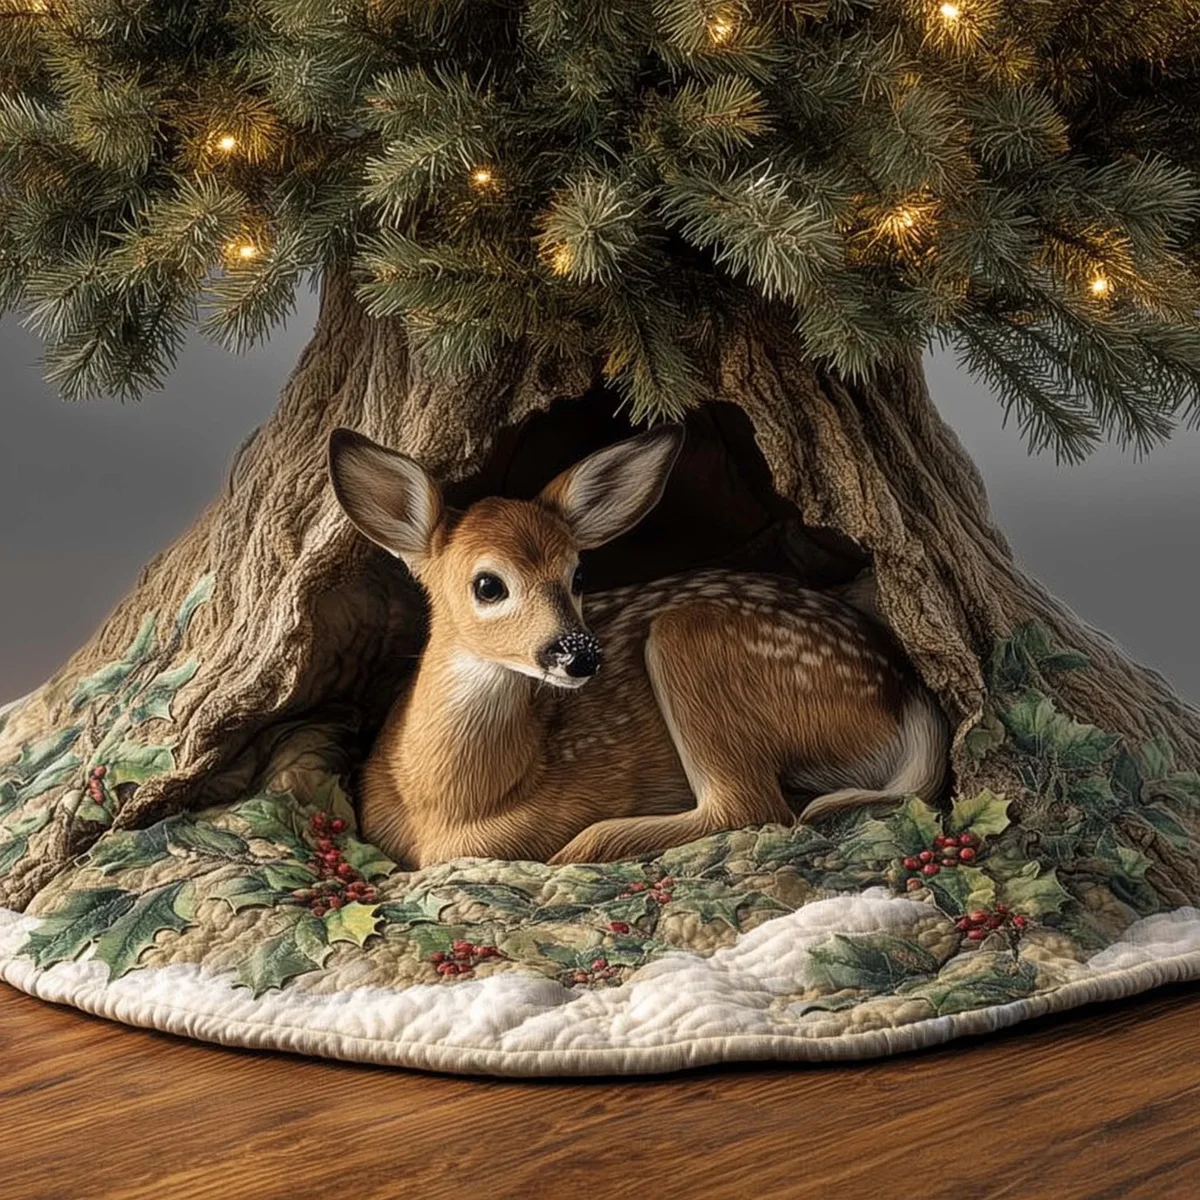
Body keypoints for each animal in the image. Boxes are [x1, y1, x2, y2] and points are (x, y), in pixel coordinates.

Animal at [327, 425, 949, 868]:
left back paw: (584, 847)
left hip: (692, 642)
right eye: (487, 584)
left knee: (752, 807)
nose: (579, 654)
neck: (446, 807)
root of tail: (905, 691)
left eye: (579, 575)